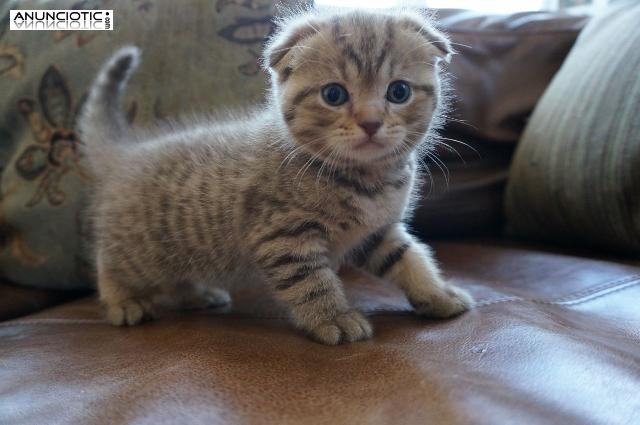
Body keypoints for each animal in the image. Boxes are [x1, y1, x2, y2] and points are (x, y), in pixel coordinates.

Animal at [77, 7, 472, 344]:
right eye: (334, 94)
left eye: (399, 91)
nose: (371, 123)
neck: (367, 179)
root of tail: (125, 154)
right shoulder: (283, 235)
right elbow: (311, 281)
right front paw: (333, 318)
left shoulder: (376, 231)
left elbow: (409, 258)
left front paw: (437, 293)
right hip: (141, 249)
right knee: (108, 262)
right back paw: (122, 301)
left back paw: (195, 295)